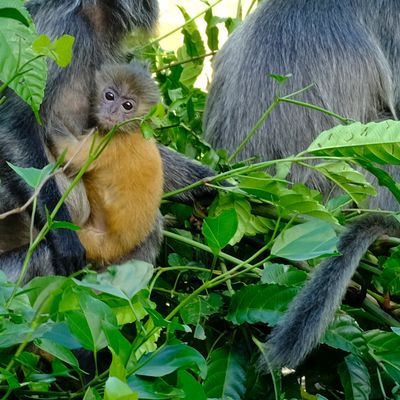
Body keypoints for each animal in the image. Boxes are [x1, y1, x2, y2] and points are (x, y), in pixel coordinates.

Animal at [55, 63, 163, 266]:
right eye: (109, 96)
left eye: (127, 105)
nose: (112, 111)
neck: (133, 129)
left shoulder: (112, 143)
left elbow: (68, 154)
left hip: (92, 240)